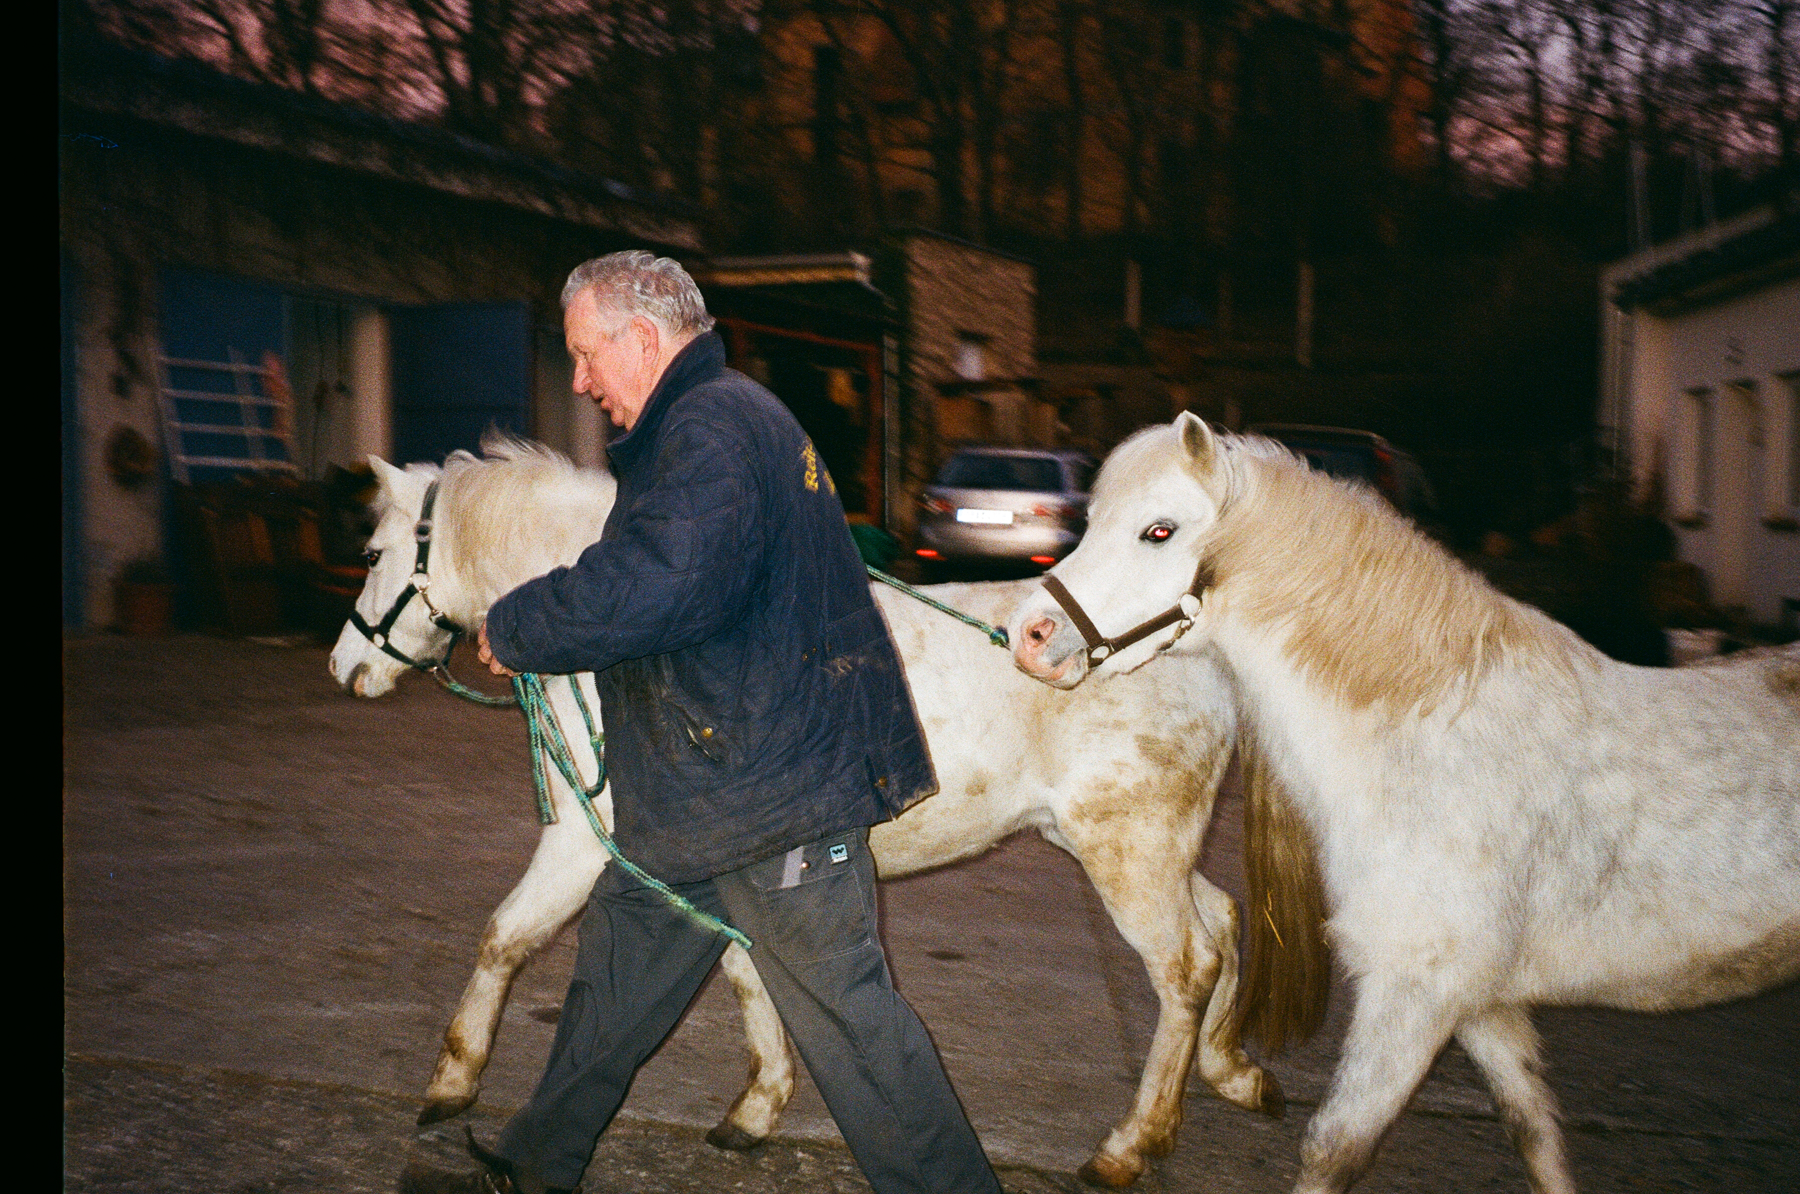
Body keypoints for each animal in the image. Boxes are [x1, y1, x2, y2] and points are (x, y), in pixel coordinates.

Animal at [324, 437, 1281, 1188]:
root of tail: (1198, 653)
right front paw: (756, 1108)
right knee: (1226, 921)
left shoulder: (584, 849)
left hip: (1127, 855)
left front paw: (451, 1086)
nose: (343, 667)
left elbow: (504, 939)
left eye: (370, 554)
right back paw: (1235, 1073)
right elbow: (750, 976)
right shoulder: (719, 862)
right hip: (1144, 850)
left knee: (1186, 968)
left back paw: (1132, 1145)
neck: (634, 641)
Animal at [1008, 414, 1800, 1194]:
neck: (1438, 735)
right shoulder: (1482, 1007)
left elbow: (1333, 1150)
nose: (1029, 635)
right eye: (1092, 519)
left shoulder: (1415, 995)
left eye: (1160, 530)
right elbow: (1535, 1135)